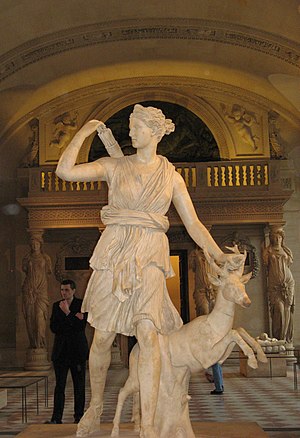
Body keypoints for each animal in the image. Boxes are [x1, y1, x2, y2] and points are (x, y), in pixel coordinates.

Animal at [110, 248, 268, 436]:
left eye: (243, 285)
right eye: (229, 285)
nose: (247, 301)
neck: (213, 325)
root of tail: (134, 350)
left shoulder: (219, 356)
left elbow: (239, 330)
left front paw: (261, 356)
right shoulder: (205, 357)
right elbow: (234, 333)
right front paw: (253, 361)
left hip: (142, 378)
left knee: (138, 394)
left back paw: (136, 426)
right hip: (136, 375)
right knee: (122, 392)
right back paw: (115, 431)